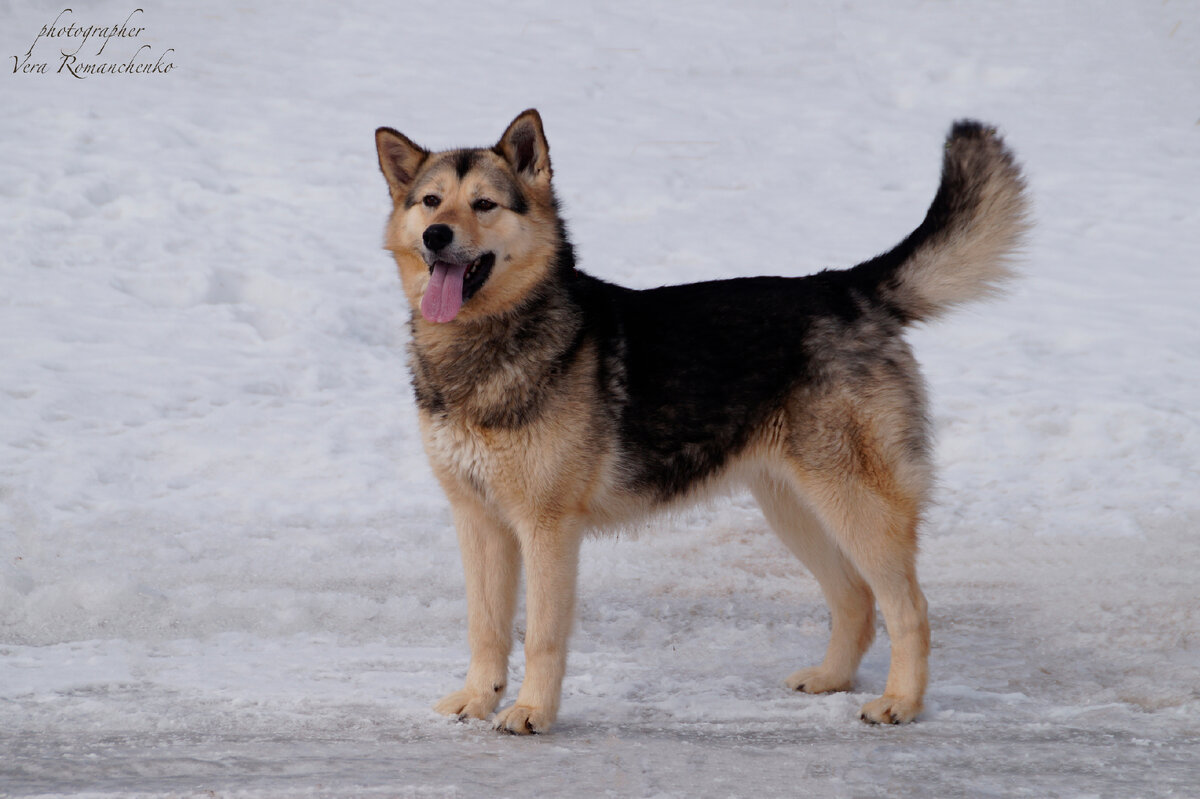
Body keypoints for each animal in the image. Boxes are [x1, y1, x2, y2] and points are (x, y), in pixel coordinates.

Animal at [374, 109, 1032, 729]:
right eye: (431, 202)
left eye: (484, 204)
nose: (436, 235)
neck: (485, 346)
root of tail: (846, 288)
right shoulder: (478, 520)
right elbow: (484, 626)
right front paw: (476, 700)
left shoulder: (546, 528)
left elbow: (540, 635)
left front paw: (533, 712)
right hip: (798, 509)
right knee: (856, 601)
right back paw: (831, 680)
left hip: (857, 507)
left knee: (910, 610)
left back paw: (901, 702)